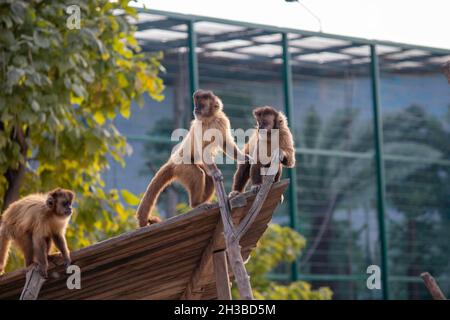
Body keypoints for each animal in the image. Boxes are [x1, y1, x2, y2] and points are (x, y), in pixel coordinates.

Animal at [137, 89, 250, 226]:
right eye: (196, 104)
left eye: (201, 105)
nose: (195, 108)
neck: (209, 119)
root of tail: (172, 160)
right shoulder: (200, 126)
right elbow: (203, 150)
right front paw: (216, 172)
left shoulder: (221, 120)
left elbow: (225, 143)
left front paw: (243, 157)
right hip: (181, 166)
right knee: (198, 173)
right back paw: (196, 204)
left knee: (207, 176)